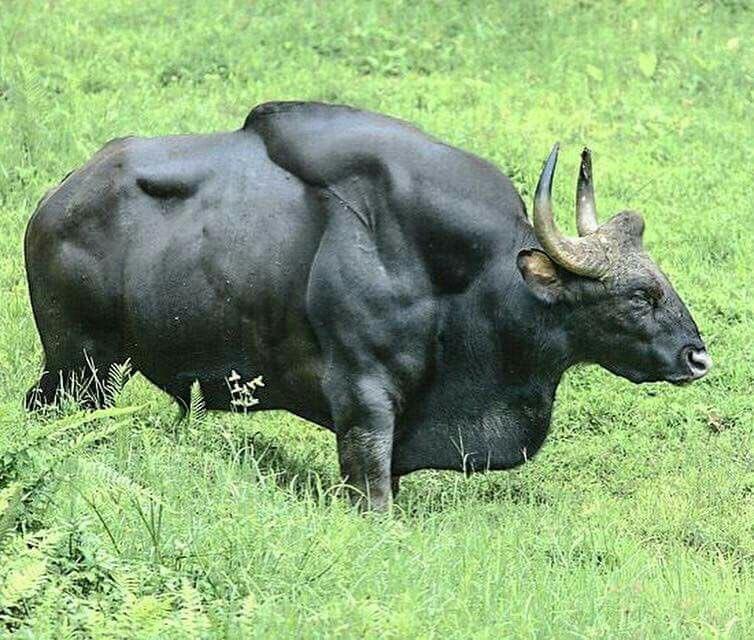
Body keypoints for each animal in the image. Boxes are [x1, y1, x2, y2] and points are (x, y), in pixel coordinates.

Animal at [22, 101, 704, 510]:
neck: (459, 280)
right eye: (639, 295)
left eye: (659, 280)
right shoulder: (364, 397)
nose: (698, 357)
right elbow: (372, 490)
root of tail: (57, 199)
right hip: (79, 365)